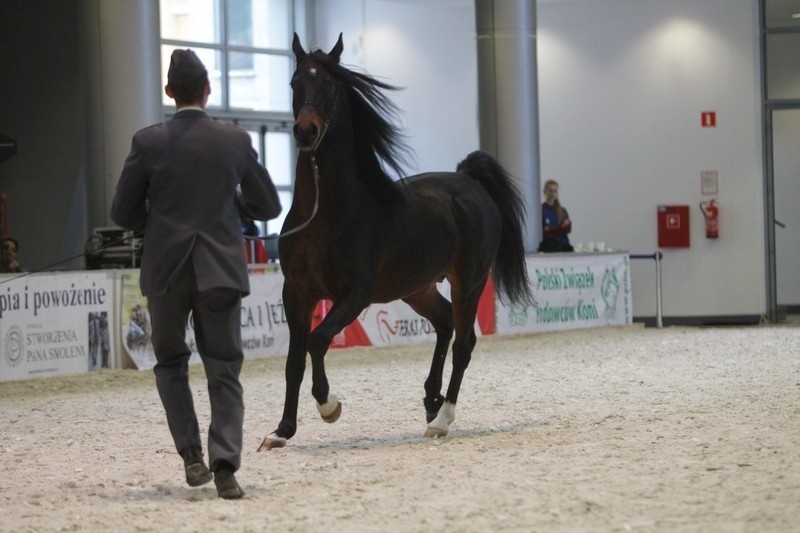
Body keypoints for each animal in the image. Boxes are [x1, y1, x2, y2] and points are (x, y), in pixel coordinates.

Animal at [260, 33, 532, 448]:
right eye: (294, 83)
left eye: (330, 85)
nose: (305, 132)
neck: (326, 213)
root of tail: (468, 181)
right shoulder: (297, 294)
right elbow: (293, 361)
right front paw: (281, 431)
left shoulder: (354, 295)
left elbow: (318, 342)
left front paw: (329, 406)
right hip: (417, 288)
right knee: (444, 324)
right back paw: (431, 400)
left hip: (468, 284)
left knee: (463, 344)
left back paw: (442, 418)